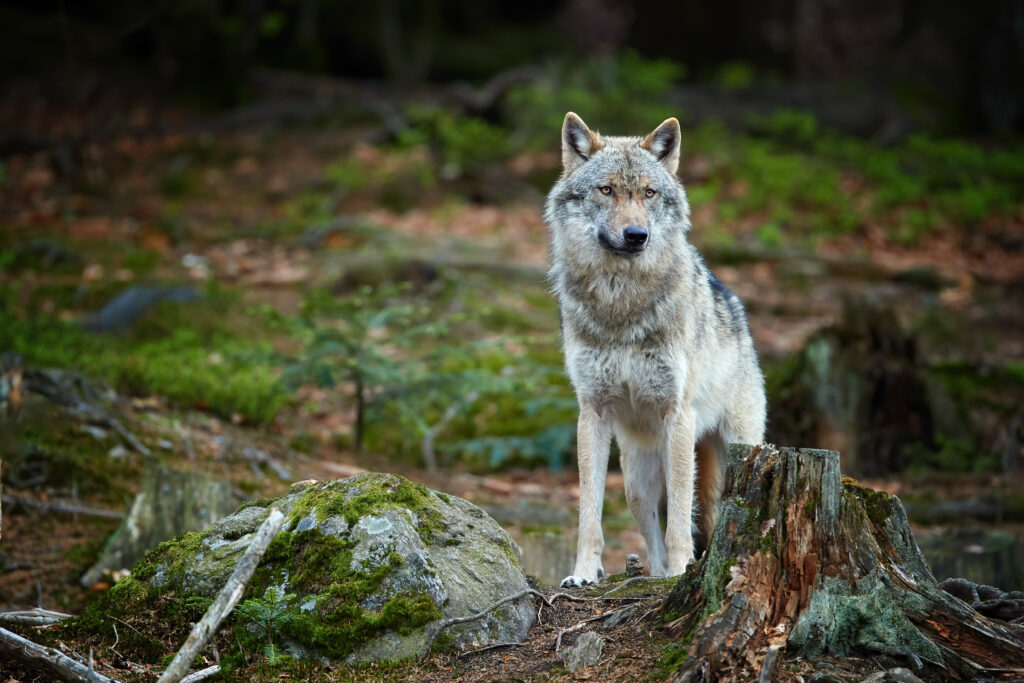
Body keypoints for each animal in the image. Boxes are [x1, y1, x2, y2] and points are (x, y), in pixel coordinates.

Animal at [544, 112, 766, 587]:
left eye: (648, 193)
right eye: (606, 189)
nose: (636, 235)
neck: (621, 304)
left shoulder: (677, 414)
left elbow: (681, 516)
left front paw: (683, 572)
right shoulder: (592, 411)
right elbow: (589, 513)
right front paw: (583, 574)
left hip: (738, 451)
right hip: (635, 479)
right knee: (649, 530)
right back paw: (653, 575)